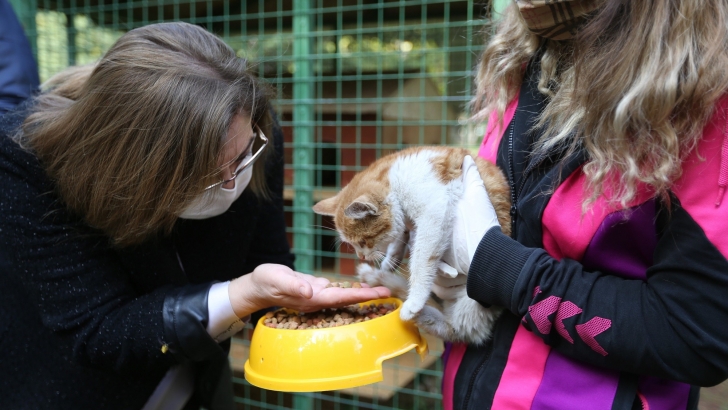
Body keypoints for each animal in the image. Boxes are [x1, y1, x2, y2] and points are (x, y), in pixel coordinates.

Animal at [312, 146, 511, 345]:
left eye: (362, 242)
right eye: (351, 244)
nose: (361, 256)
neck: (397, 178)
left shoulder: (433, 213)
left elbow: (421, 260)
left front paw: (415, 299)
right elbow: (400, 237)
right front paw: (390, 262)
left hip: (473, 302)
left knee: (457, 328)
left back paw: (414, 310)